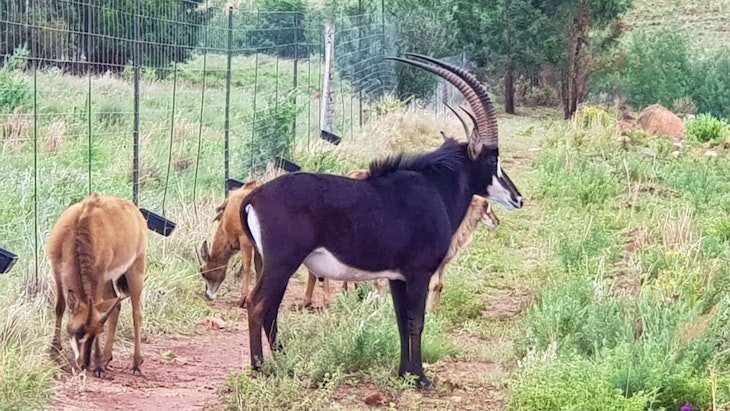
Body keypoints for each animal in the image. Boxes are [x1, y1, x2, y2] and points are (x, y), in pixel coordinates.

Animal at [48, 193, 148, 378]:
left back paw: (136, 363)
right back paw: (107, 358)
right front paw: (54, 351)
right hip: (110, 279)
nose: (84, 364)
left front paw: (99, 365)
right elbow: (60, 307)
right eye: (79, 330)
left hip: (136, 267)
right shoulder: (56, 269)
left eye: (98, 332)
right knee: (116, 306)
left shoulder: (99, 276)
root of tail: (135, 210)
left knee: (137, 312)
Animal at [239, 54, 523, 389]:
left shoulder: (397, 277)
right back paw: (260, 367)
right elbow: (417, 321)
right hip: (283, 262)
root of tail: (254, 197)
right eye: (493, 159)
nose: (518, 198)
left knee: (270, 307)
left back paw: (284, 362)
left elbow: (401, 321)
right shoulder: (419, 273)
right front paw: (422, 378)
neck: (435, 188)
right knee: (257, 304)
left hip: (272, 263)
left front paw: (405, 373)